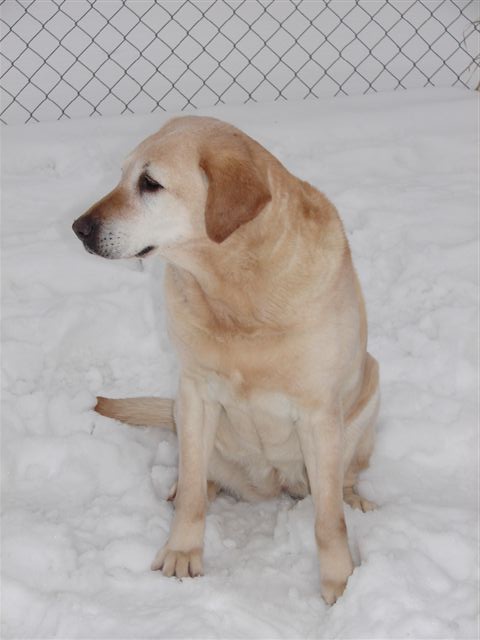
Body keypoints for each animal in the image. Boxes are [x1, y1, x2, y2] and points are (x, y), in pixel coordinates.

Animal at [72, 116, 378, 604]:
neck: (236, 291)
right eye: (121, 176)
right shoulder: (195, 393)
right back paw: (182, 488)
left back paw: (357, 498)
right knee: (197, 476)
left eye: (150, 183)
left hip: (369, 391)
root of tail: (271, 486)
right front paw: (182, 553)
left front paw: (340, 583)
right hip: (186, 415)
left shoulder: (319, 412)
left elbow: (329, 521)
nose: (79, 228)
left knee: (345, 480)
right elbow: (194, 496)